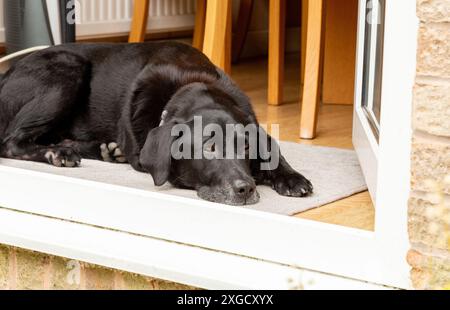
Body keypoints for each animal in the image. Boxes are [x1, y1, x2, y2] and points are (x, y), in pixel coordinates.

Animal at [0, 41, 312, 206]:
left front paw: (291, 178)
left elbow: (275, 151)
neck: (189, 81)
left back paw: (105, 150)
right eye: (209, 148)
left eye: (246, 148)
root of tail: (7, 72)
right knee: (12, 142)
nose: (245, 189)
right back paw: (59, 154)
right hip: (67, 69)